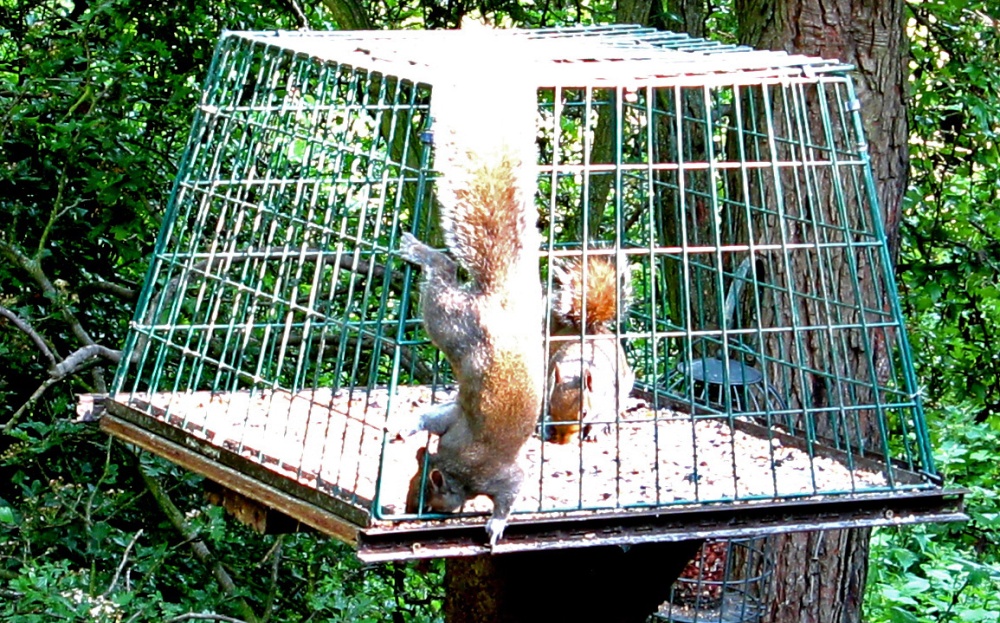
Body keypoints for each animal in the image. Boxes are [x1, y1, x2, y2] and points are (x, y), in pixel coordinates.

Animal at [396, 146, 544, 544]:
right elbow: (433, 417)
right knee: (444, 269)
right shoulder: (458, 433)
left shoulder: (491, 466)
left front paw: (496, 524)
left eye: (425, 496)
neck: (458, 466)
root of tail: (495, 302)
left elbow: (510, 494)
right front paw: (407, 426)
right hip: (451, 323)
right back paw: (421, 252)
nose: (407, 511)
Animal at [548, 256, 632, 446]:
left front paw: (594, 431)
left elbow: (602, 417)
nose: (563, 441)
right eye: (551, 407)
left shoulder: (610, 398)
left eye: (584, 413)